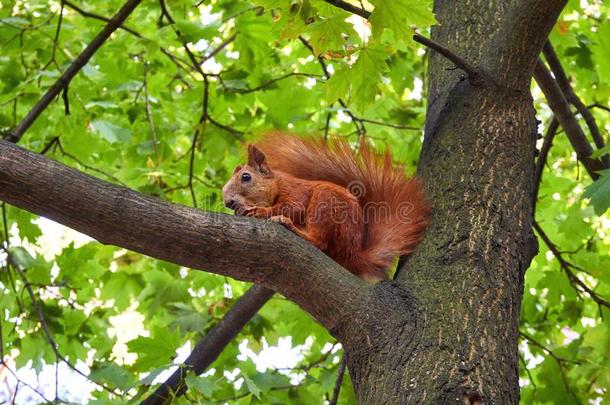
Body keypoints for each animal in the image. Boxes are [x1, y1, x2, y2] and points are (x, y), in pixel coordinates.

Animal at [222, 133, 428, 280]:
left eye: (246, 177)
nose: (228, 202)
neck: (277, 184)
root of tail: (354, 255)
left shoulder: (294, 190)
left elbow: (293, 207)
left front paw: (258, 210)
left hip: (325, 201)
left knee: (319, 241)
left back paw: (291, 227)